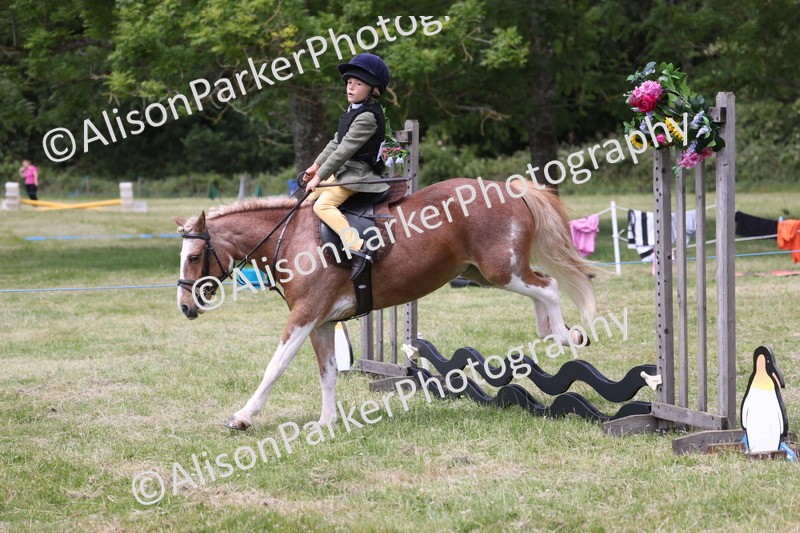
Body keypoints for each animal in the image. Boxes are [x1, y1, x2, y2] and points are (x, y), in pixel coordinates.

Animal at [173, 177, 596, 430]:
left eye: (193, 257)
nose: (184, 307)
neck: (289, 238)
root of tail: (509, 188)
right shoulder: (322, 322)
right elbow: (327, 372)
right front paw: (327, 421)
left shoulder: (305, 315)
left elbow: (274, 367)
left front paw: (243, 416)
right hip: (481, 272)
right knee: (542, 285)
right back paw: (550, 331)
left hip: (500, 270)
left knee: (548, 286)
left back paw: (566, 335)